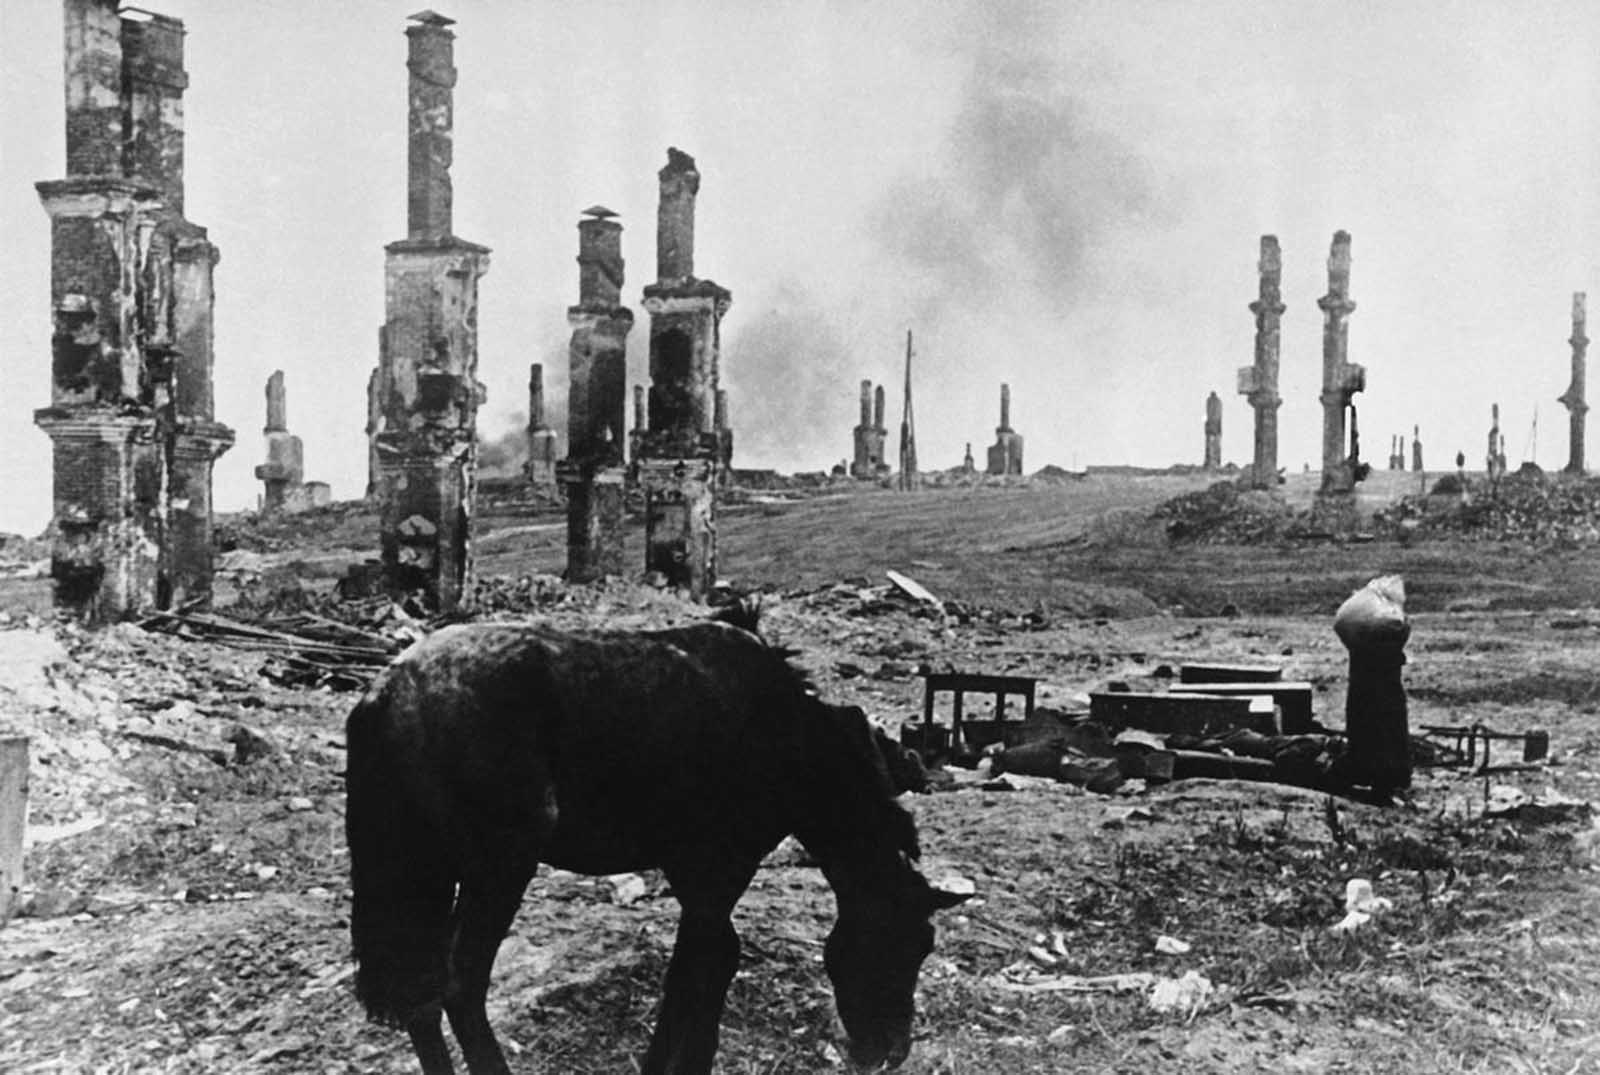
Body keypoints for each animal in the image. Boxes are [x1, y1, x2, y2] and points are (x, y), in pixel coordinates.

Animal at [345, 607, 966, 1068]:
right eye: (906, 941)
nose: (889, 1053)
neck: (781, 731)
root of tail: (387, 690)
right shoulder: (718, 871)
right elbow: (698, 967)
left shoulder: (695, 875)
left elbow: (709, 962)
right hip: (498, 869)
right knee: (461, 986)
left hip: (427, 875)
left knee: (423, 993)